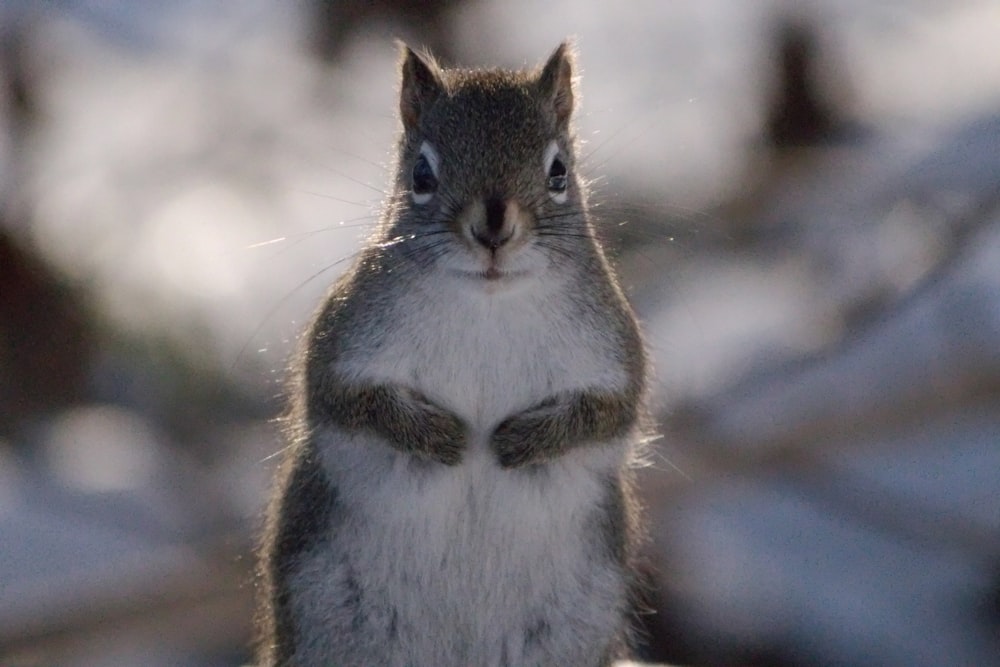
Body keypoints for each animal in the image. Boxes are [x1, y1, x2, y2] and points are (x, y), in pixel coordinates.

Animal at [256, 41, 648, 667]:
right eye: (421, 174)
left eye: (558, 172)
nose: (494, 229)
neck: (487, 305)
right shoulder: (339, 347)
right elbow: (351, 402)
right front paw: (444, 438)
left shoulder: (615, 358)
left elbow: (608, 414)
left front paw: (523, 441)